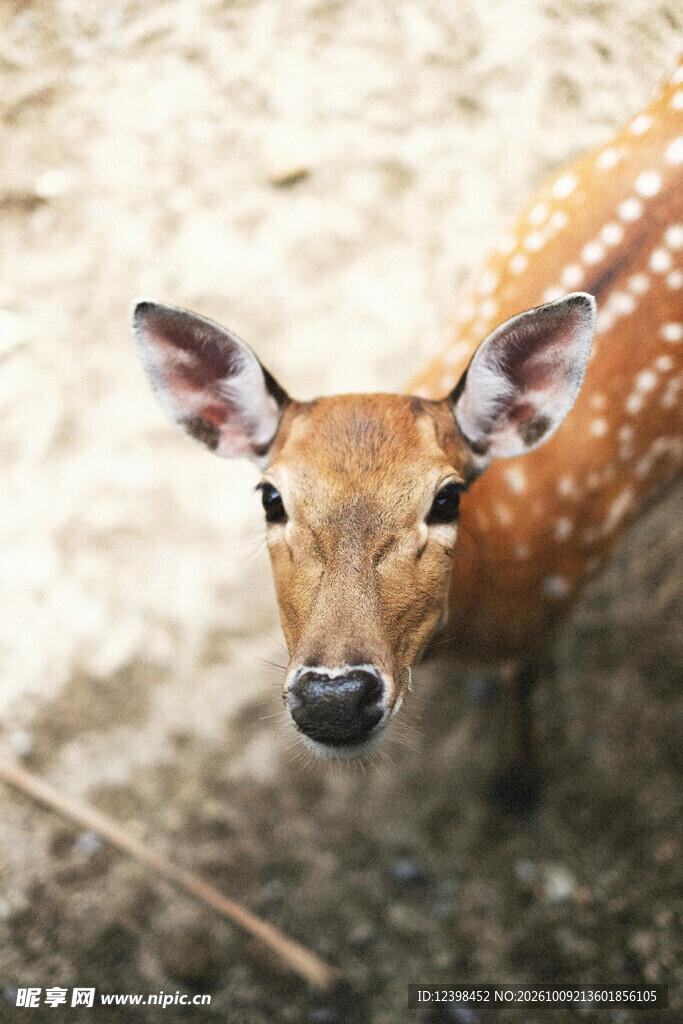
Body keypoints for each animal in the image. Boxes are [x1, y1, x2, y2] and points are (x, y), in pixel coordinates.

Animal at [133, 57, 682, 809]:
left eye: (447, 497)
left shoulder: (553, 606)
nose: (334, 699)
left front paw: (517, 783)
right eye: (271, 498)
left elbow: (525, 686)